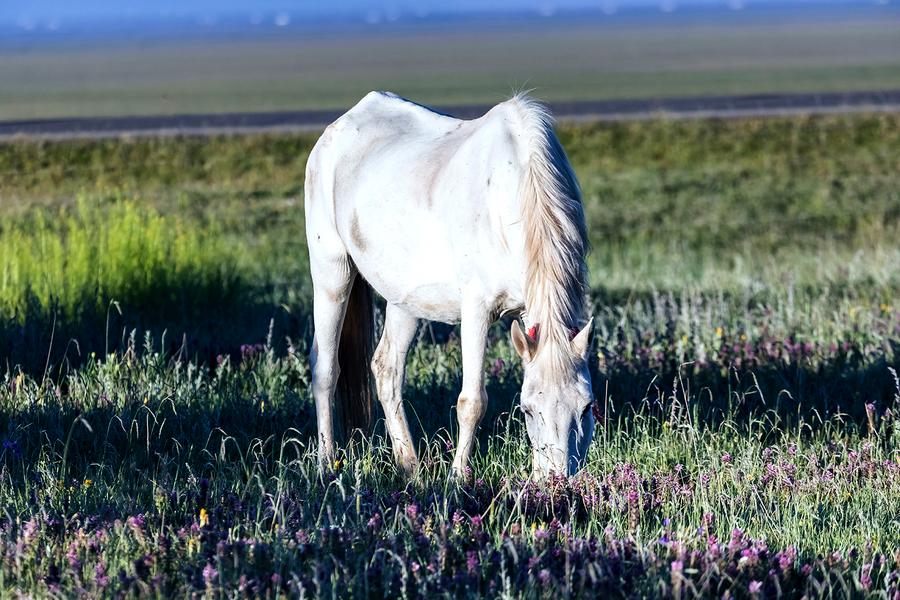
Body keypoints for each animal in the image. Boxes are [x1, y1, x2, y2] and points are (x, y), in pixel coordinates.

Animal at [306, 91, 596, 480]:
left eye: (587, 407)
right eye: (527, 410)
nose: (557, 481)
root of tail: (337, 129)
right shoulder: (476, 309)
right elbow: (472, 400)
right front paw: (459, 477)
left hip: (404, 300)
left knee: (386, 369)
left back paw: (410, 466)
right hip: (331, 274)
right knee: (325, 369)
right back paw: (326, 463)